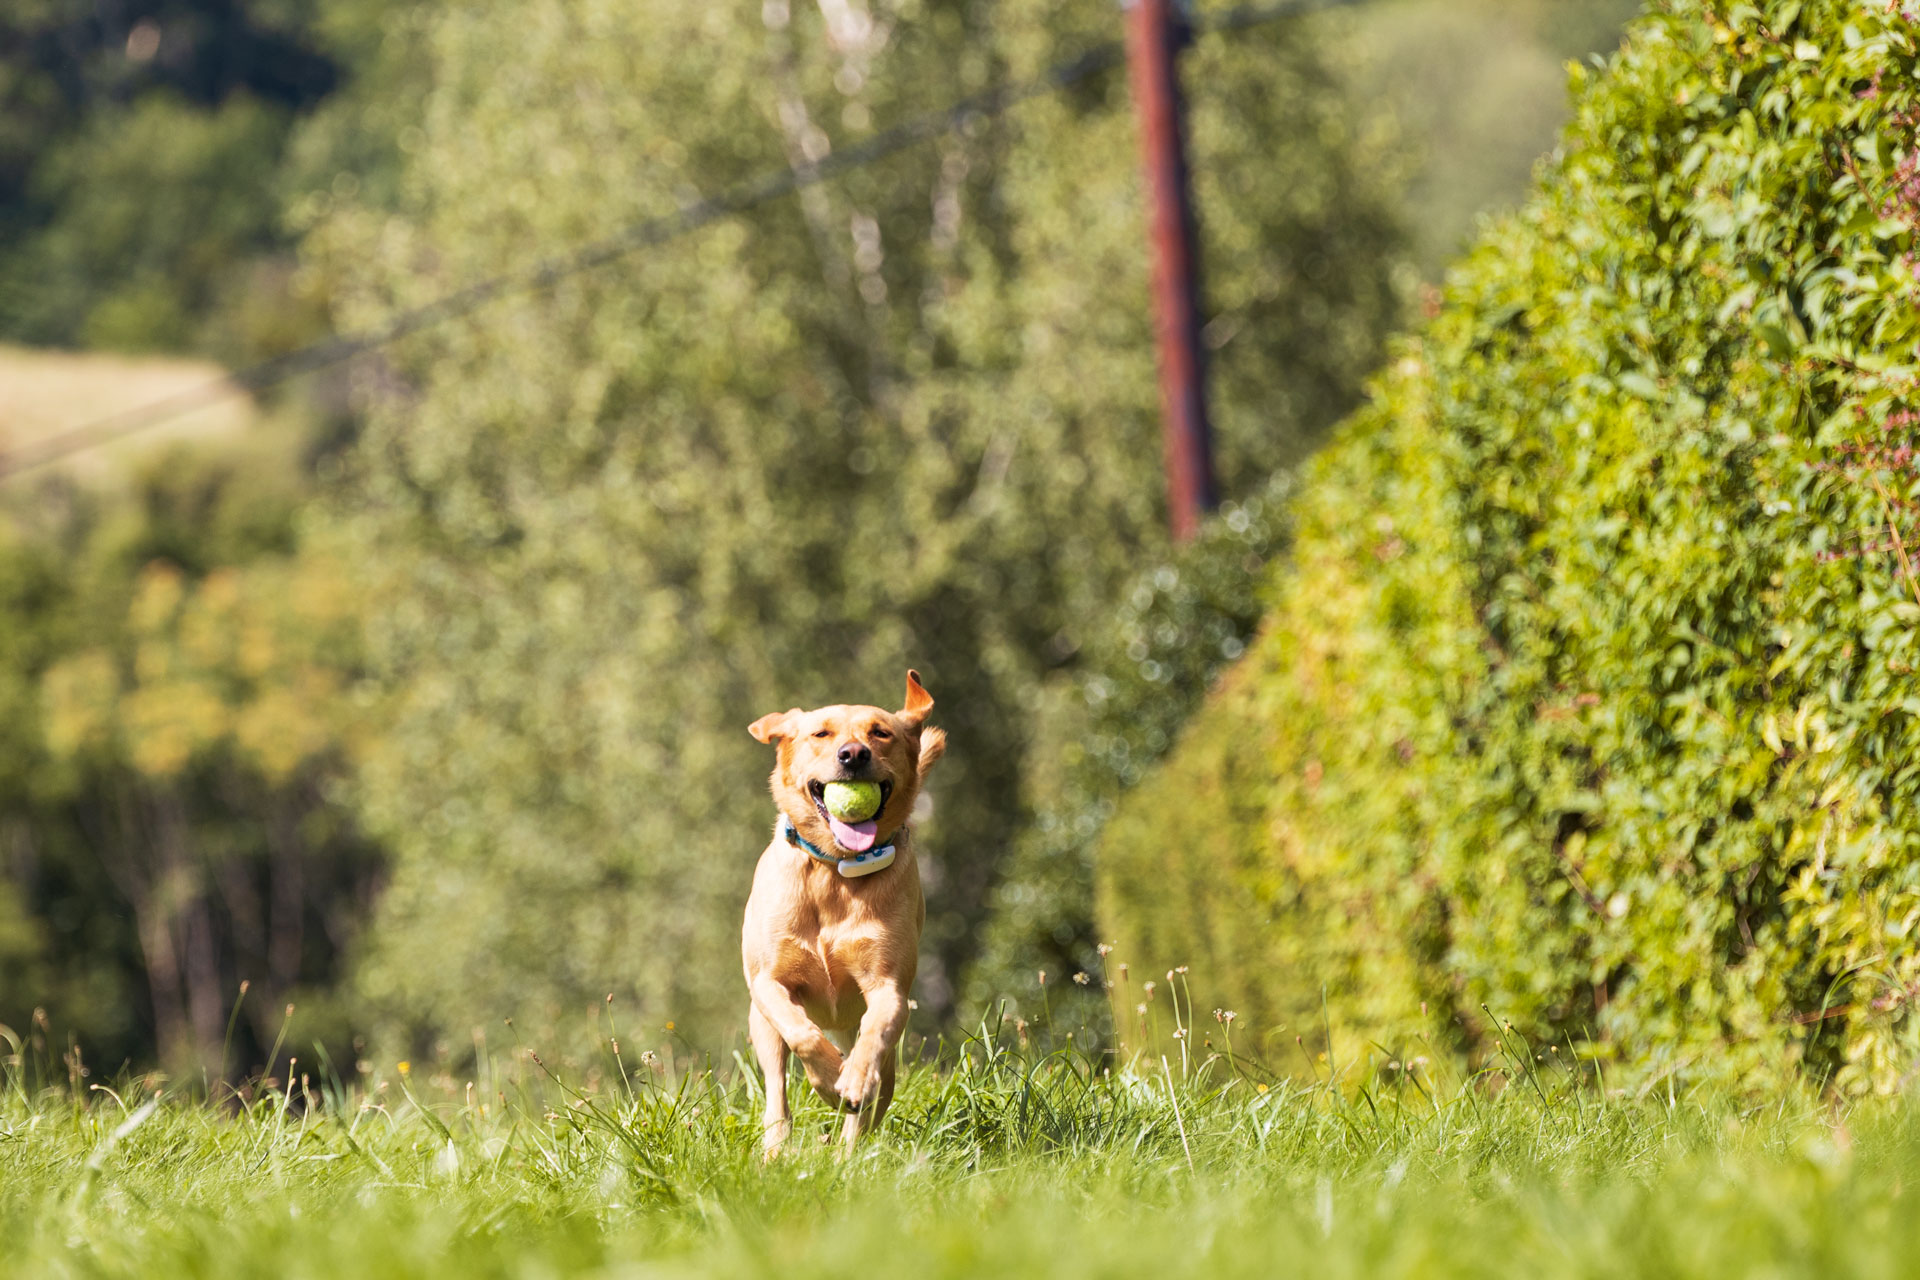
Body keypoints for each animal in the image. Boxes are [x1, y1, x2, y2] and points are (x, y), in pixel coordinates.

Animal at [737, 671, 940, 1159]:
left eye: (880, 733)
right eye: (821, 734)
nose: (853, 754)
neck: (835, 872)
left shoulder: (889, 988)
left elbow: (875, 1033)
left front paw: (850, 1079)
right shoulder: (768, 983)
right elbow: (803, 1034)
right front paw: (830, 1080)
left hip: (886, 1061)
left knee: (869, 1101)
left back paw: (848, 1153)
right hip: (760, 1025)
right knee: (777, 1091)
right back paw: (776, 1149)